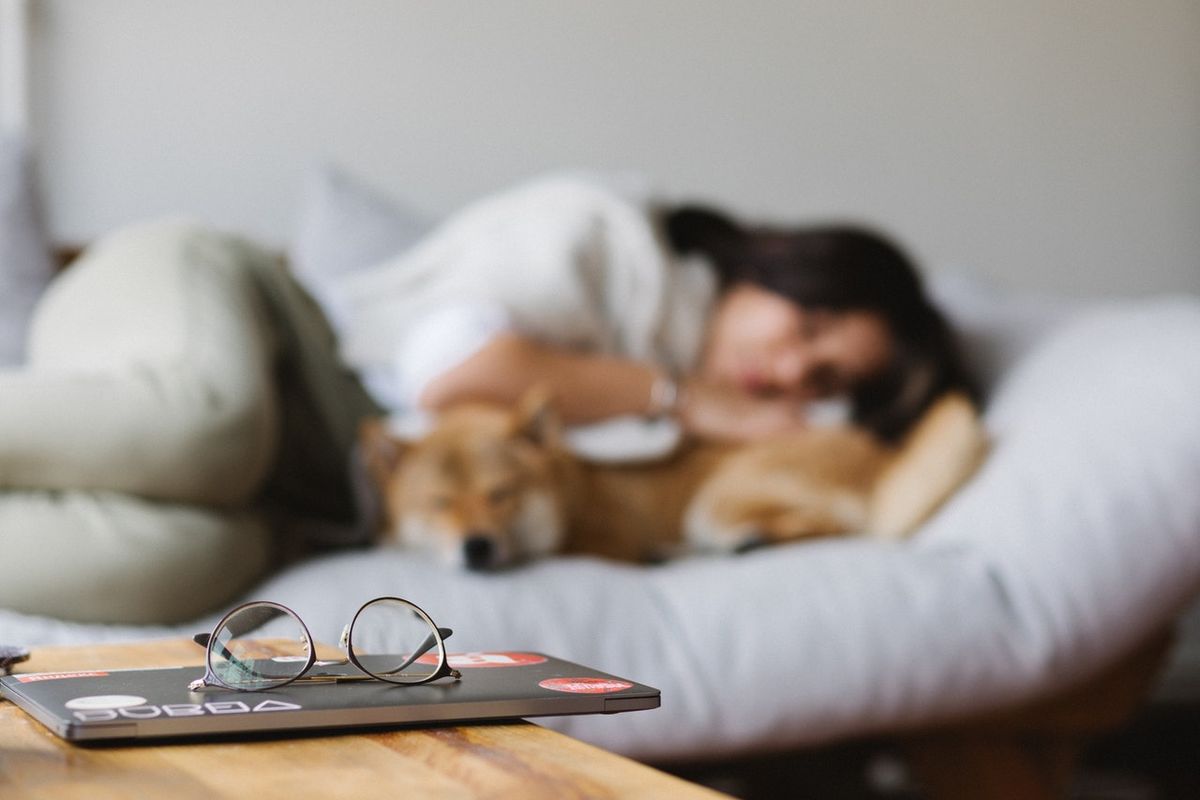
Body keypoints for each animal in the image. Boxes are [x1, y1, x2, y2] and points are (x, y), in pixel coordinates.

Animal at [360, 388, 988, 568]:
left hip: (715, 500)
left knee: (832, 526)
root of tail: (885, 457)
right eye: (439, 503)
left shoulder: (609, 537)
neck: (570, 488)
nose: (477, 547)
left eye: (500, 495)